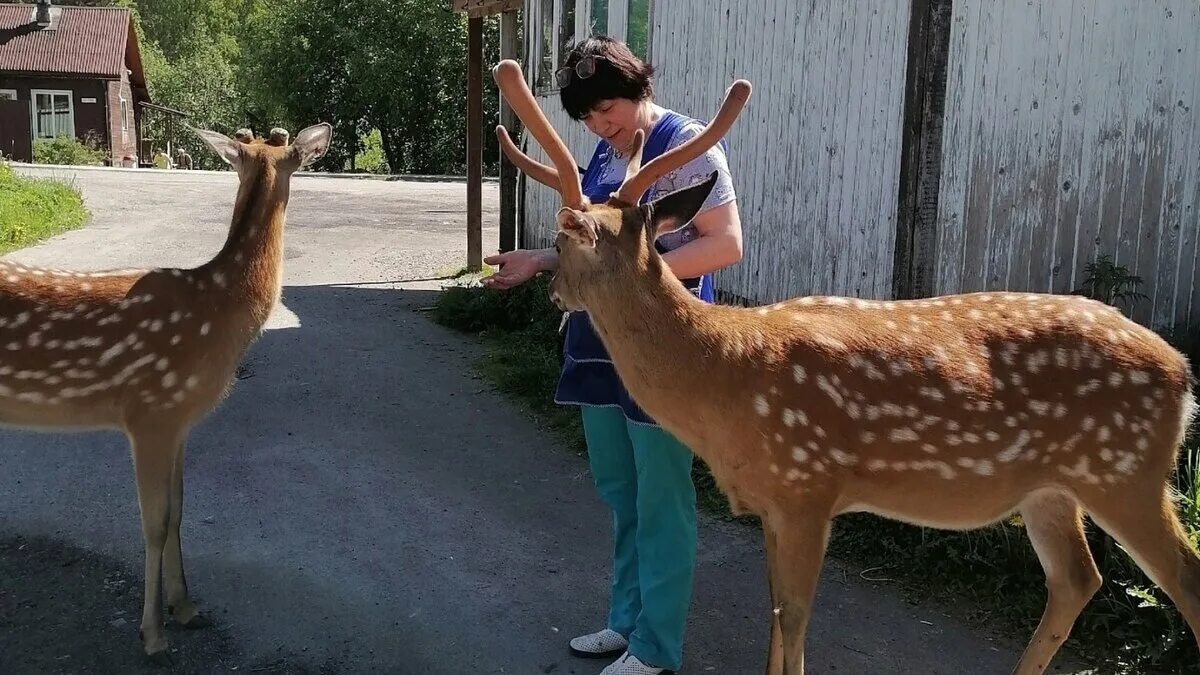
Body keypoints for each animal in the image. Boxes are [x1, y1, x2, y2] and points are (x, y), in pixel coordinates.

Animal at [0, 121, 333, 662]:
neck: (217, 309)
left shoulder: (179, 420)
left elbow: (179, 512)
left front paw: (186, 607)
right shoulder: (150, 412)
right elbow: (153, 524)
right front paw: (153, 633)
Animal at [489, 57, 1200, 672]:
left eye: (560, 243)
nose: (552, 290)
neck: (726, 377)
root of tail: (1182, 372)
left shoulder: (808, 484)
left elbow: (797, 619)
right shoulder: (775, 501)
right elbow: (776, 619)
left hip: (1125, 470)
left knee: (1183, 580)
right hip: (1051, 488)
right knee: (1078, 579)